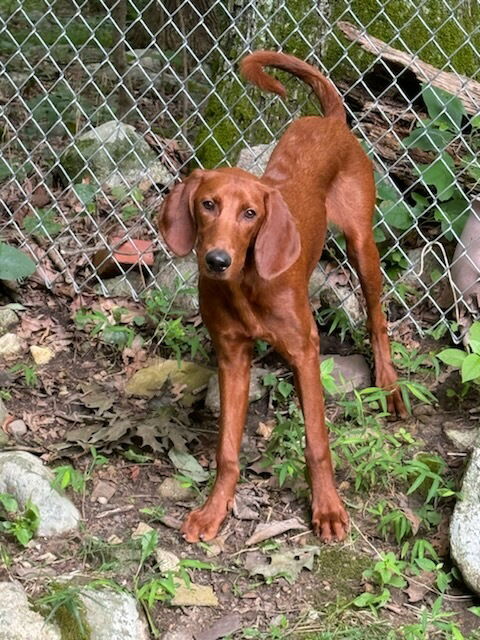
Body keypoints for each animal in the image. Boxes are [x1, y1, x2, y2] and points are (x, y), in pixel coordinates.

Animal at [158, 50, 404, 544]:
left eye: (250, 214)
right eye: (208, 204)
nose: (217, 260)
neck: (246, 285)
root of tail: (331, 121)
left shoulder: (306, 352)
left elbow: (318, 442)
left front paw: (327, 509)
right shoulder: (232, 356)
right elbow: (227, 449)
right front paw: (214, 510)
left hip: (362, 244)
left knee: (377, 316)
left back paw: (389, 384)